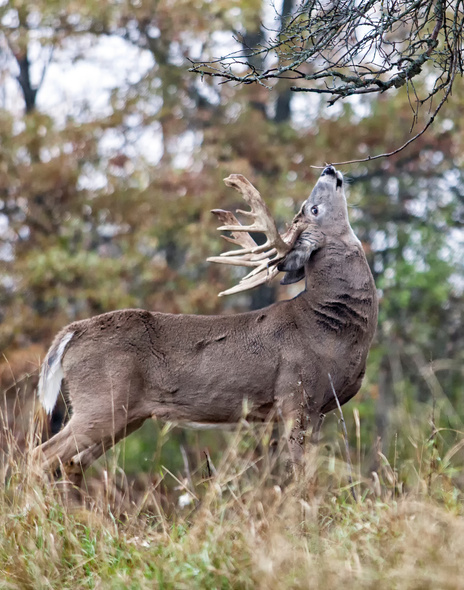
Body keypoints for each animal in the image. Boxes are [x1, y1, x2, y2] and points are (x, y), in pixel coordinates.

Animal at [35, 168, 376, 486]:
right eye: (313, 209)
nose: (329, 169)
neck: (327, 325)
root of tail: (72, 332)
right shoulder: (296, 395)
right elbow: (302, 477)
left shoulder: (319, 409)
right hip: (100, 401)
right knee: (42, 455)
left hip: (127, 415)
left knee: (71, 464)